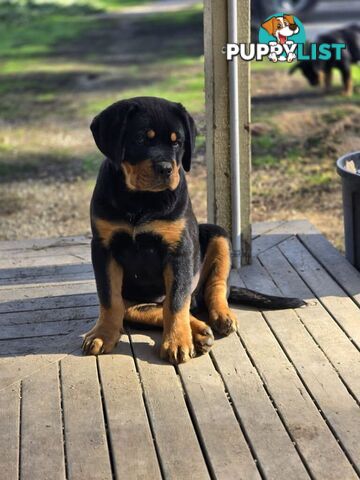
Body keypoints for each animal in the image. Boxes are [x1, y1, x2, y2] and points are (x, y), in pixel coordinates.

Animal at [82, 95, 304, 362]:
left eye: (177, 142)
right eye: (140, 139)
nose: (166, 168)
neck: (141, 200)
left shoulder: (180, 249)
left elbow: (176, 302)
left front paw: (177, 342)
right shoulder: (103, 247)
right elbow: (108, 297)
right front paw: (102, 335)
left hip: (218, 235)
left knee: (210, 290)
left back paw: (219, 318)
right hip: (135, 298)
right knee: (149, 308)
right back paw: (198, 331)